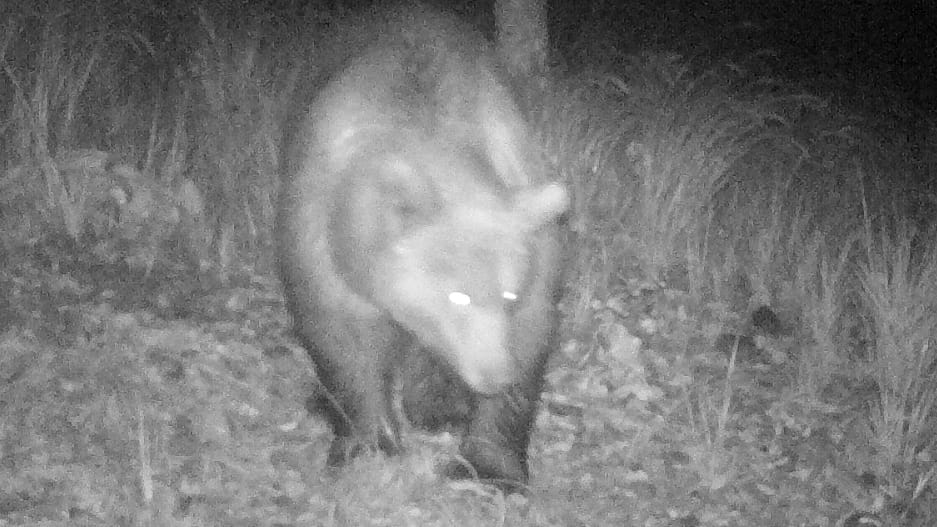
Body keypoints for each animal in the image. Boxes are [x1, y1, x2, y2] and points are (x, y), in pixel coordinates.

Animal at [274, 3, 568, 496]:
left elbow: (530, 335)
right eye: (457, 295)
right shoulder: (323, 239)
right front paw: (368, 444)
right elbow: (342, 340)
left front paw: (490, 466)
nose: (492, 374)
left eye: (508, 293)